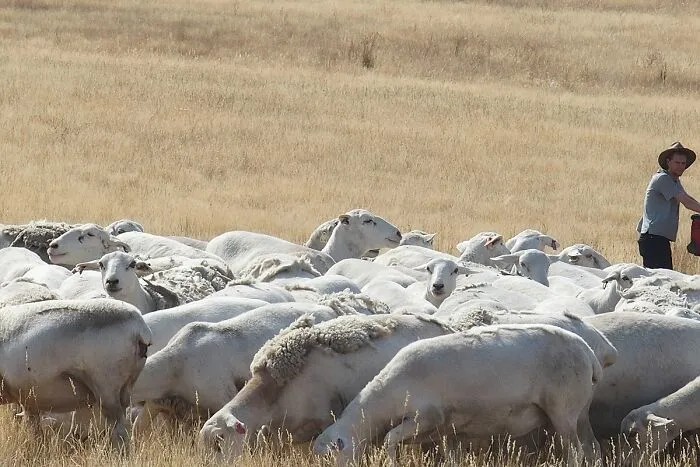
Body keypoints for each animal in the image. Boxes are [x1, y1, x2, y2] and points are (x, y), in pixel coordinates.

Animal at [313, 324, 607, 465]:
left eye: (329, 458)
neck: (388, 395)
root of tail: (590, 355)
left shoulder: (425, 417)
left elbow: (388, 440)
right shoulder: (447, 428)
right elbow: (450, 454)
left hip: (563, 409)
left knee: (576, 453)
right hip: (580, 411)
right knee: (592, 450)